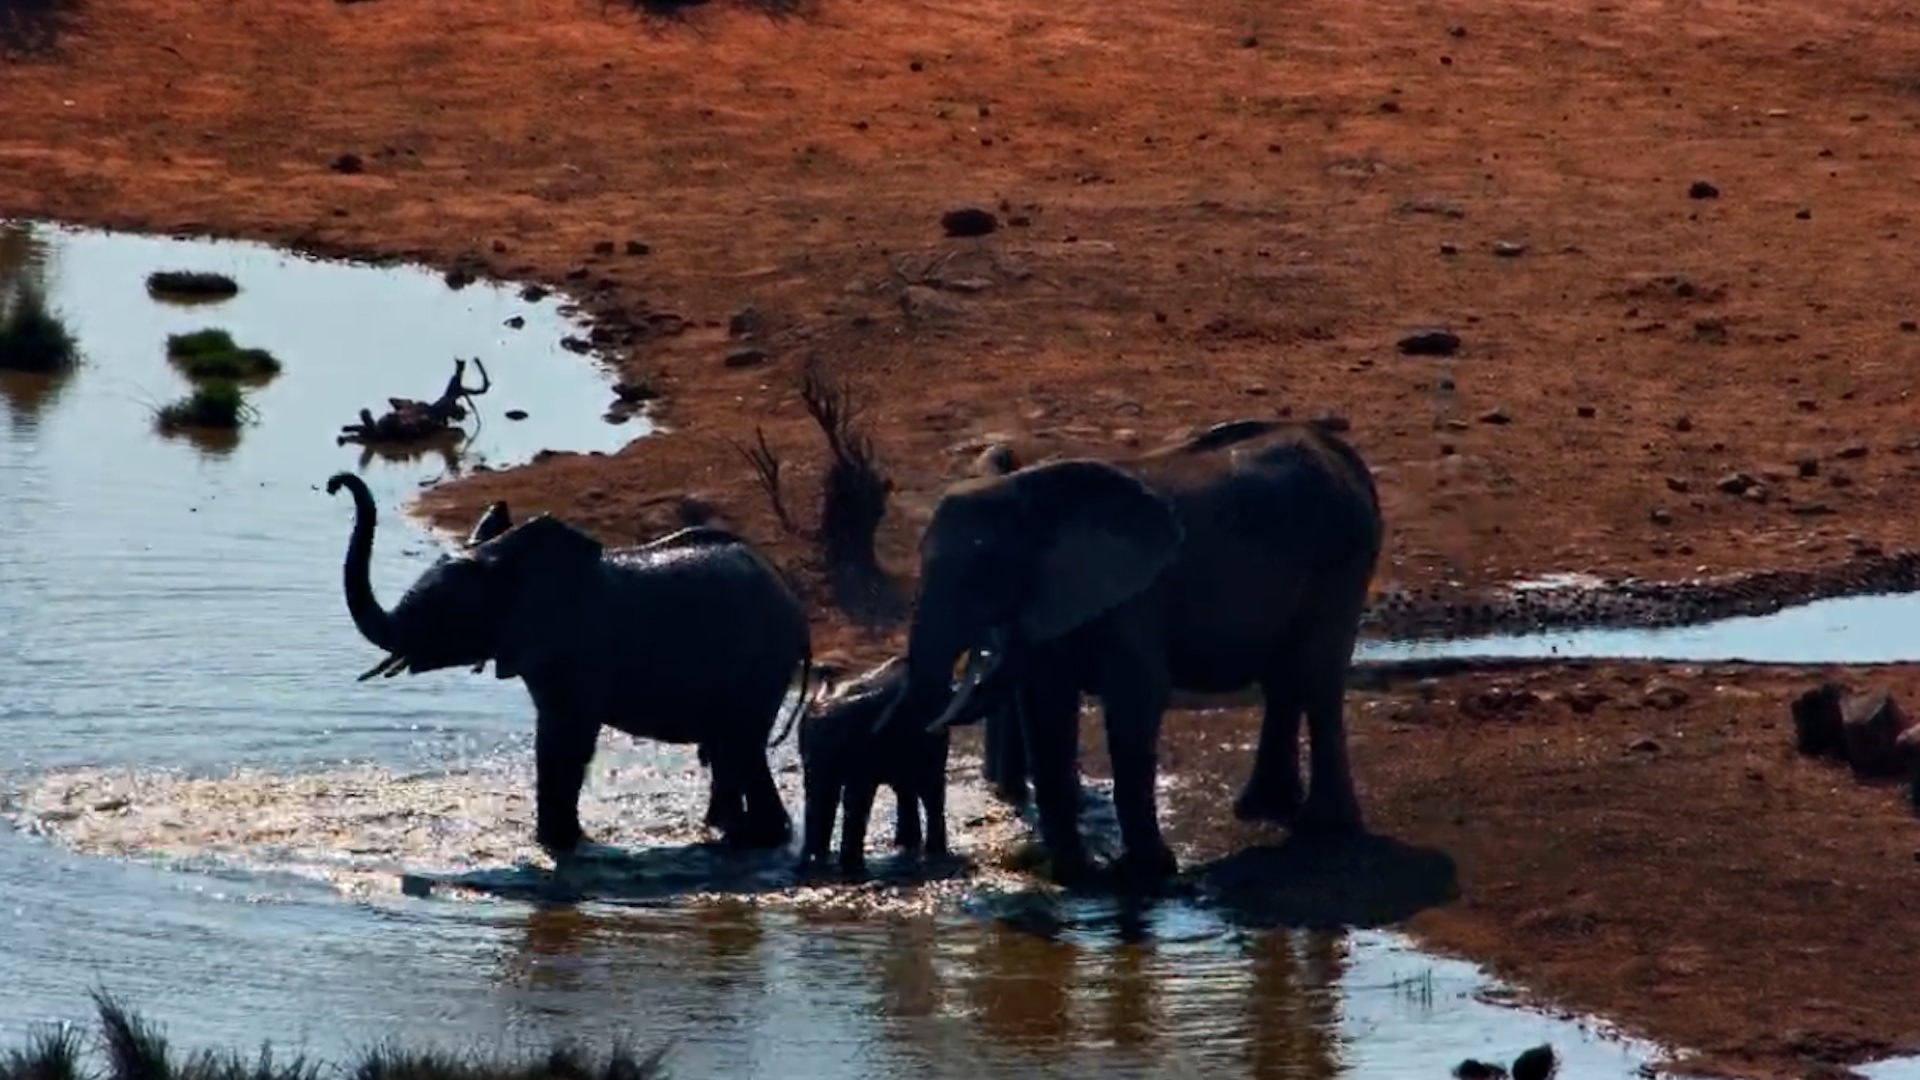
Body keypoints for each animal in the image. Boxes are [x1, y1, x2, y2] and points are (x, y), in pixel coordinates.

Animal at [324, 471, 813, 858]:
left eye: (441, 613)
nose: (334, 484)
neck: (504, 560)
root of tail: (793, 602)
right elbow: (551, 740)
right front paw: (555, 843)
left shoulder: (577, 648)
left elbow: (567, 739)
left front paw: (559, 845)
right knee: (729, 751)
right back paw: (722, 832)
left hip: (758, 666)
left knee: (742, 746)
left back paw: (758, 840)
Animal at [872, 418, 1384, 883]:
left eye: (982, 570)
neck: (1030, 491)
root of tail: (1340, 453)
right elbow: (1046, 707)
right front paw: (1072, 875)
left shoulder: (1133, 599)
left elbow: (1136, 699)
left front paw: (1143, 874)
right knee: (1284, 677)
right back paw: (1260, 808)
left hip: (1343, 552)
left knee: (1316, 674)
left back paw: (1324, 827)